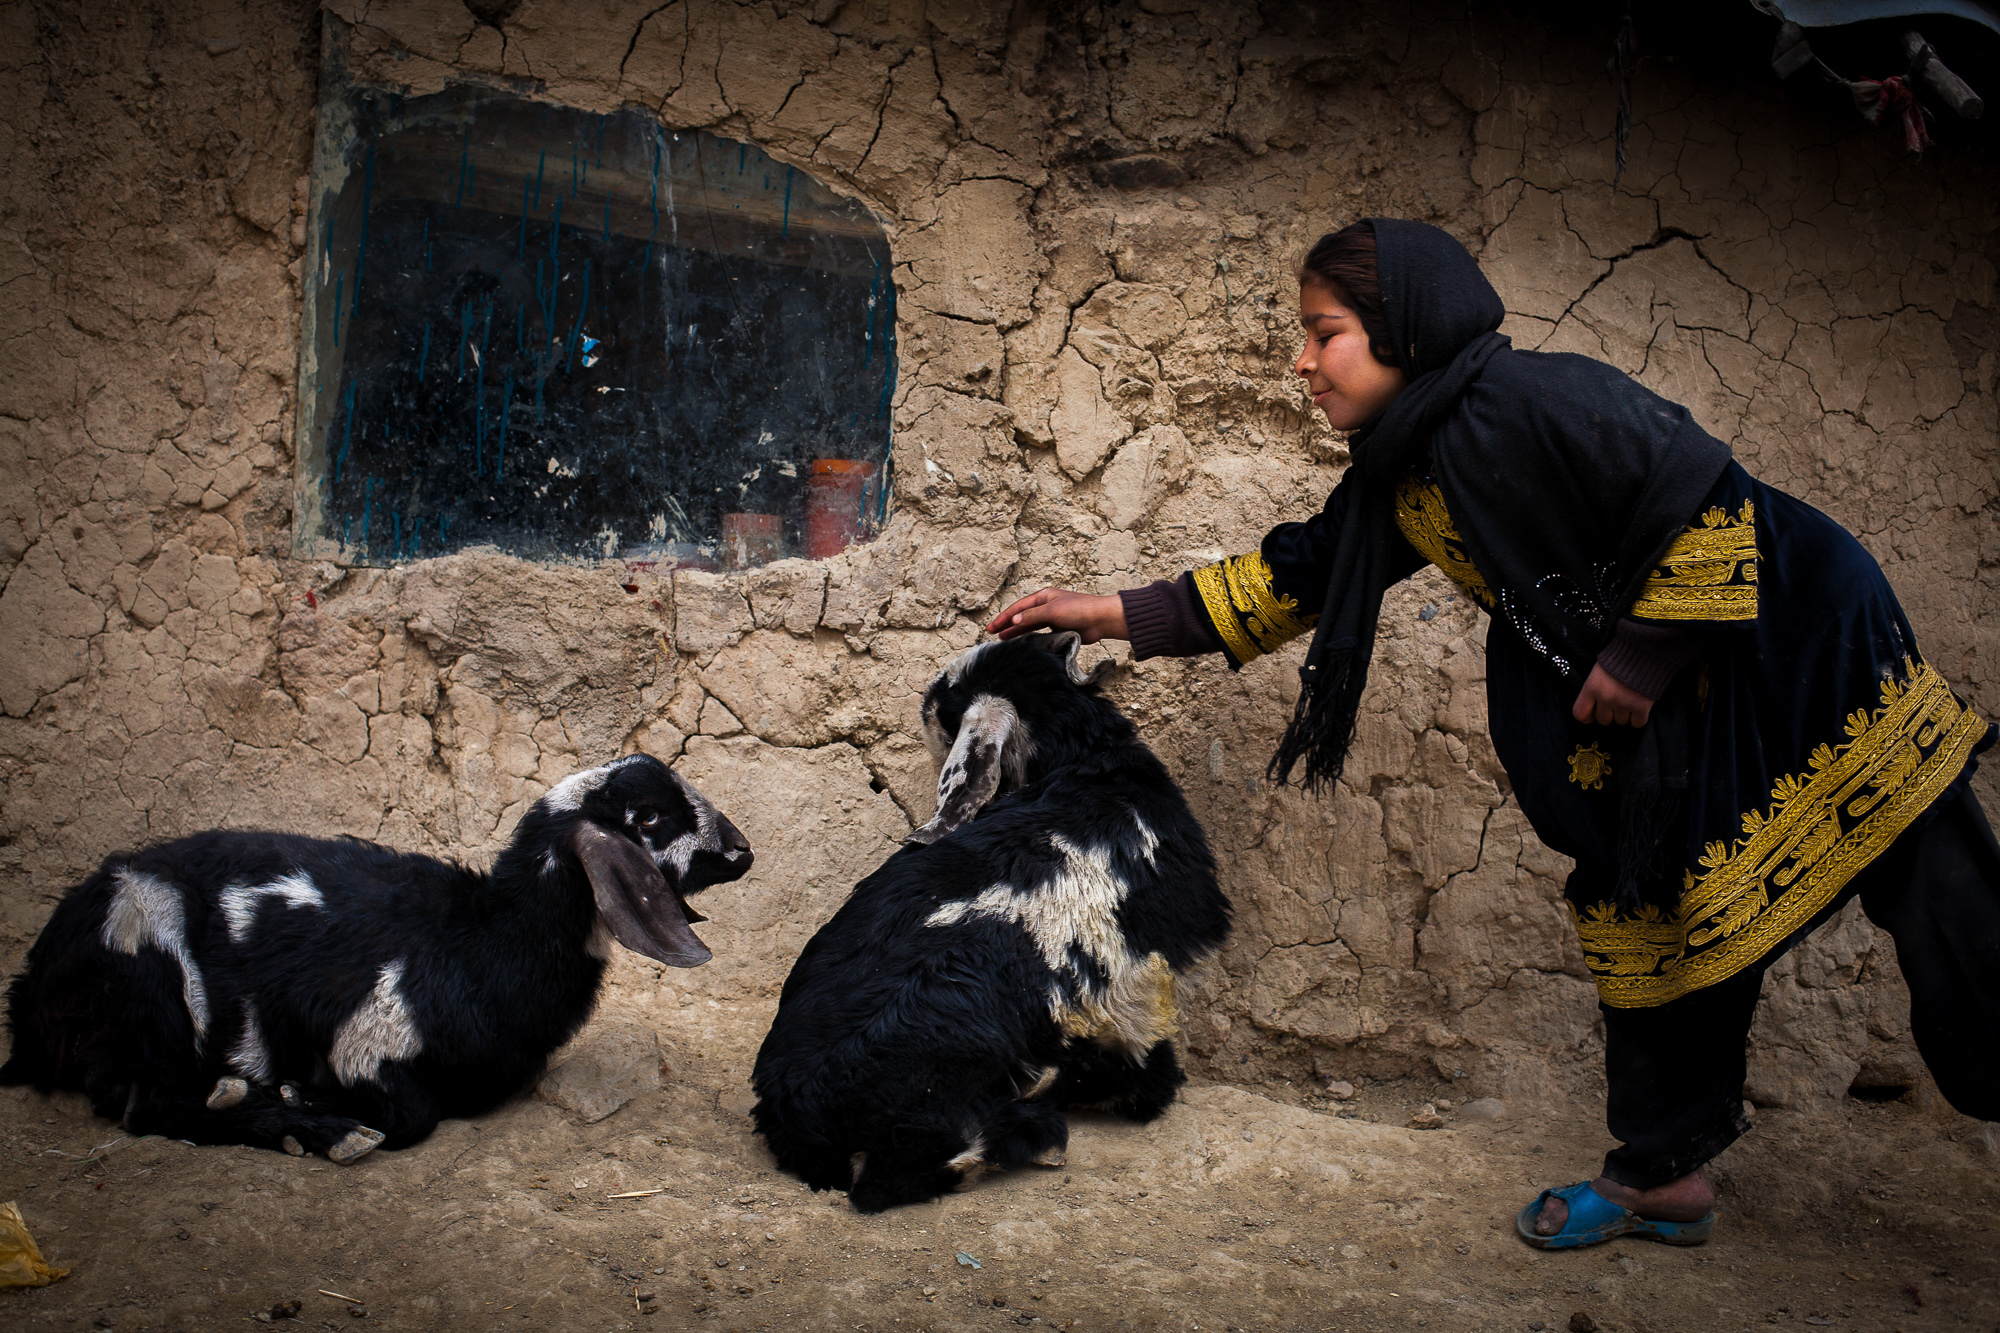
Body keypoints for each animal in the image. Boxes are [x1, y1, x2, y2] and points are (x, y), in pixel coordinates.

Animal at [0, 752, 752, 1160]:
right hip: (146, 959)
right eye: (649, 817)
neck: (485, 939)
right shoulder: (367, 1029)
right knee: (150, 1107)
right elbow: (411, 1116)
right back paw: (311, 1126)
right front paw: (308, 1099)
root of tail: (32, 995)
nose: (743, 851)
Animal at [752, 628, 1232, 1208]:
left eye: (946, 703)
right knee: (888, 1179)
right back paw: (1034, 1129)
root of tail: (789, 1107)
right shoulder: (1138, 975)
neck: (1089, 772)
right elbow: (1145, 1062)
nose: (923, 702)